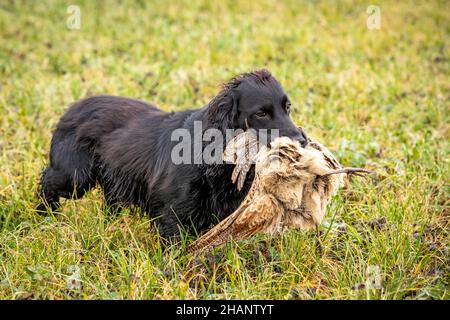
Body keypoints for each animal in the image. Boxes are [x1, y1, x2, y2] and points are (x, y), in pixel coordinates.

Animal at [37, 69, 306, 238]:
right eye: (261, 113)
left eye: (288, 107)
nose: (302, 141)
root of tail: (72, 108)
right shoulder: (171, 213)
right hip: (74, 177)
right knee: (47, 180)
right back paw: (46, 216)